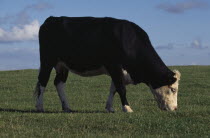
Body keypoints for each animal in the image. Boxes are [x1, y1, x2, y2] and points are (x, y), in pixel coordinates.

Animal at [34, 16, 180, 113]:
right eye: (173, 89)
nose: (174, 108)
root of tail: (51, 19)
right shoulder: (114, 65)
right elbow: (121, 88)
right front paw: (127, 108)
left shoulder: (118, 71)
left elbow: (113, 88)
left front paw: (109, 107)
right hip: (47, 60)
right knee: (42, 81)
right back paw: (40, 107)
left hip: (62, 65)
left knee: (59, 83)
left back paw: (66, 107)